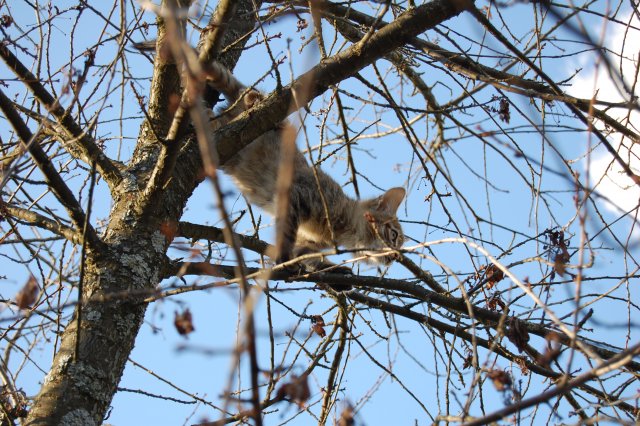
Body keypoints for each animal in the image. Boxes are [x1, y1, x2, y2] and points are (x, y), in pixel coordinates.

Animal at [205, 61, 404, 288]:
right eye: (394, 235)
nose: (395, 257)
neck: (342, 231)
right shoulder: (298, 196)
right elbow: (286, 235)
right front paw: (284, 259)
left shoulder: (306, 243)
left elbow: (309, 256)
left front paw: (336, 273)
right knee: (243, 101)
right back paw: (249, 104)